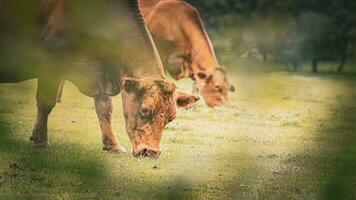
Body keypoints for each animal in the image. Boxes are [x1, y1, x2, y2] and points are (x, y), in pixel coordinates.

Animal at [0, 0, 199, 159]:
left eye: (171, 118)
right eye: (144, 110)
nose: (151, 152)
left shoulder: (100, 72)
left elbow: (105, 109)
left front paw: (113, 145)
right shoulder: (52, 55)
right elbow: (46, 101)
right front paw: (40, 140)